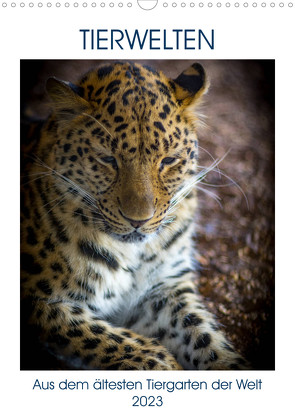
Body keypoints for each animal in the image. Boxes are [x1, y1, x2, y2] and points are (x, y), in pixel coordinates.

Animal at [19, 61, 249, 370]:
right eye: (107, 160)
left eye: (168, 160)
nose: (138, 220)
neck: (132, 255)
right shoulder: (42, 302)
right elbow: (113, 341)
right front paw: (163, 365)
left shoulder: (164, 288)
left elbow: (204, 337)